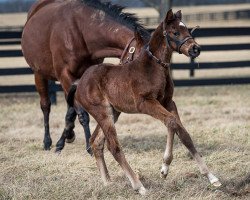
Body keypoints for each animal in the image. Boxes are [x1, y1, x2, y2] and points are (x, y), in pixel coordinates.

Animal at [21, 0, 150, 151]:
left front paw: (66, 138)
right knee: (45, 106)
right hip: (39, 74)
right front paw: (89, 146)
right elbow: (82, 113)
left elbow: (73, 111)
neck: (81, 31)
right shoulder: (65, 75)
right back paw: (47, 142)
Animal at [68, 9, 221, 194]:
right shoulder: (145, 103)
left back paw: (107, 183)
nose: (195, 49)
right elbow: (172, 122)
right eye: (175, 32)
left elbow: (181, 131)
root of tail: (79, 83)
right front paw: (164, 168)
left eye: (187, 30)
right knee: (113, 146)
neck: (154, 68)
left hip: (113, 112)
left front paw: (210, 177)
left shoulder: (168, 102)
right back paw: (139, 186)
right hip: (102, 112)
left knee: (96, 142)